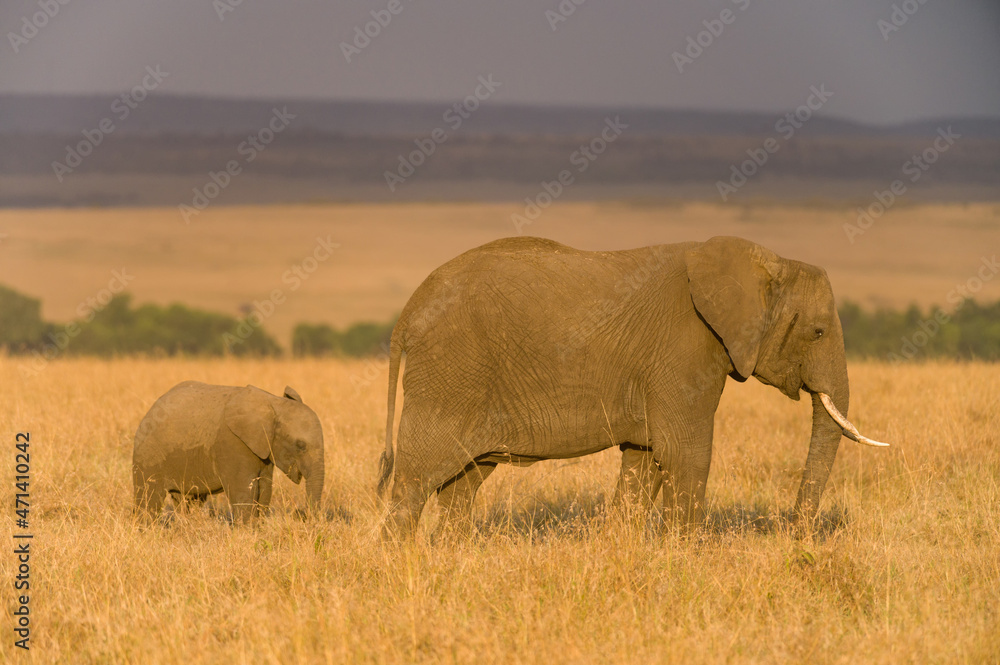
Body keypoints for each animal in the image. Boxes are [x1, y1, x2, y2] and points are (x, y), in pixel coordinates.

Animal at [132, 381, 325, 524]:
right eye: (300, 445)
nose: (301, 514)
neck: (273, 403)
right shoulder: (232, 443)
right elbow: (244, 490)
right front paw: (246, 532)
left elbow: (264, 488)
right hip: (148, 454)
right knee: (149, 499)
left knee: (189, 499)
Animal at [375, 236, 888, 539]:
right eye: (817, 332)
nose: (795, 535)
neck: (766, 261)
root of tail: (408, 311)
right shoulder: (685, 349)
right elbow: (685, 451)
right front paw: (688, 557)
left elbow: (645, 459)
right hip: (450, 374)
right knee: (415, 480)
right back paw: (399, 562)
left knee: (463, 483)